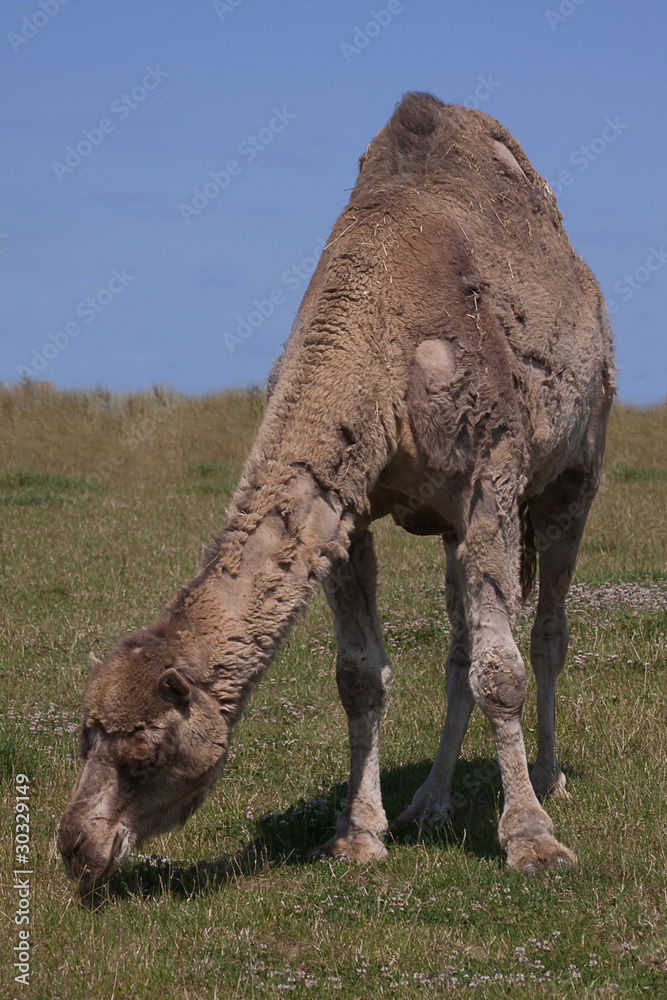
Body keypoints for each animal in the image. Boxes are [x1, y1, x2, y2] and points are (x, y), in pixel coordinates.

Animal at [59, 93, 614, 885]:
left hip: (576, 468)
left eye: (143, 753)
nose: (75, 846)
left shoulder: (491, 481)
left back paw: (546, 776)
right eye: (85, 739)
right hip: (454, 527)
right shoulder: (347, 506)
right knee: (457, 648)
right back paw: (428, 801)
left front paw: (532, 840)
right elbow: (360, 675)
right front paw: (356, 834)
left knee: (546, 630)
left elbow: (499, 671)